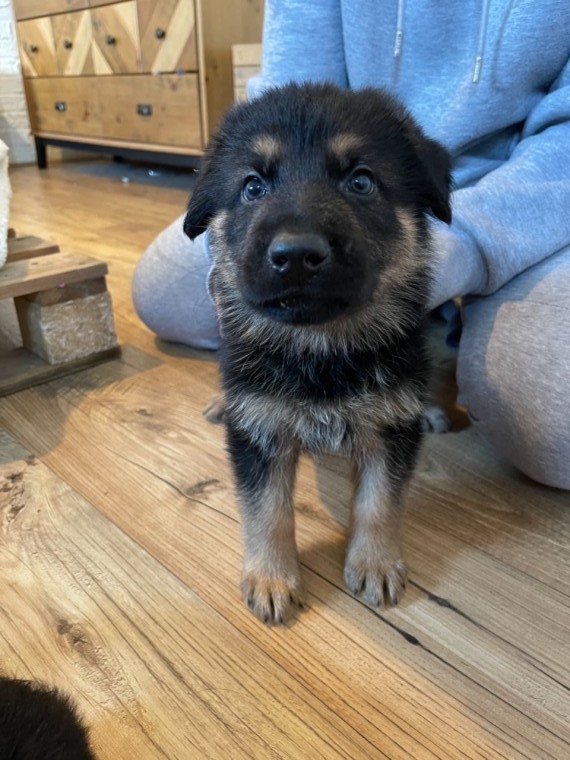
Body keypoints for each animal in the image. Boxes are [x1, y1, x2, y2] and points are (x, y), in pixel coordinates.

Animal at [184, 81, 450, 624]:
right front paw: (271, 577)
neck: (319, 347)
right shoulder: (259, 428)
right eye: (252, 188)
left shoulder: (390, 427)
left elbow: (379, 501)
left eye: (361, 182)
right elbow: (266, 509)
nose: (295, 256)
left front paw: (376, 562)